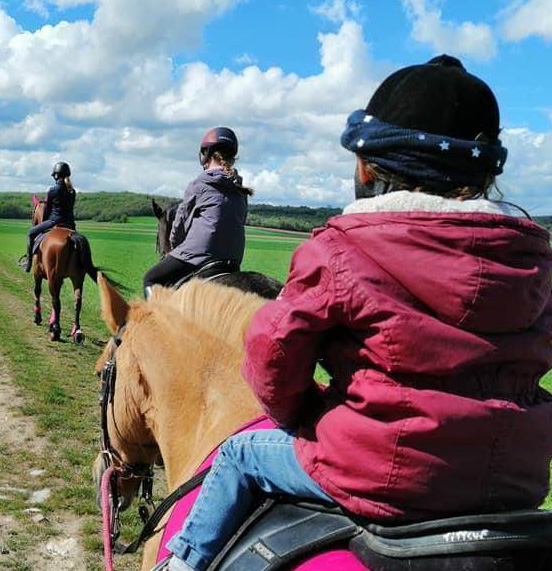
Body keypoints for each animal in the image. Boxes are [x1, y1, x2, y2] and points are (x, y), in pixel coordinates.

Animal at [30, 197, 99, 342]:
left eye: (33, 212)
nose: (33, 222)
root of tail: (71, 237)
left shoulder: (37, 272)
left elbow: (38, 291)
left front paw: (38, 318)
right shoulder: (60, 279)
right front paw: (51, 323)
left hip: (53, 277)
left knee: (56, 301)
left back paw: (56, 331)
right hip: (77, 278)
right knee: (78, 301)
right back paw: (76, 331)